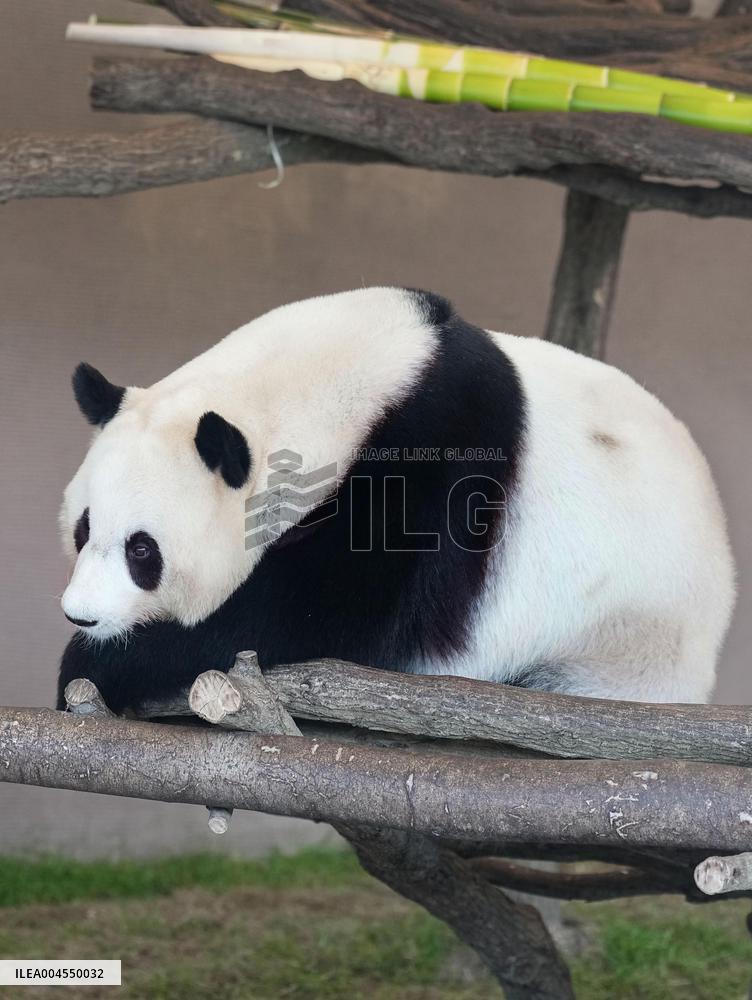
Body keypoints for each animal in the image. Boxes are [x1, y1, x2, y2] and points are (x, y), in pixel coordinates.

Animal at [57, 287, 735, 715]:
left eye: (143, 551)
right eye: (82, 530)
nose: (81, 616)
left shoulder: (431, 468)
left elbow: (323, 612)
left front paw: (97, 665)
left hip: (622, 644)